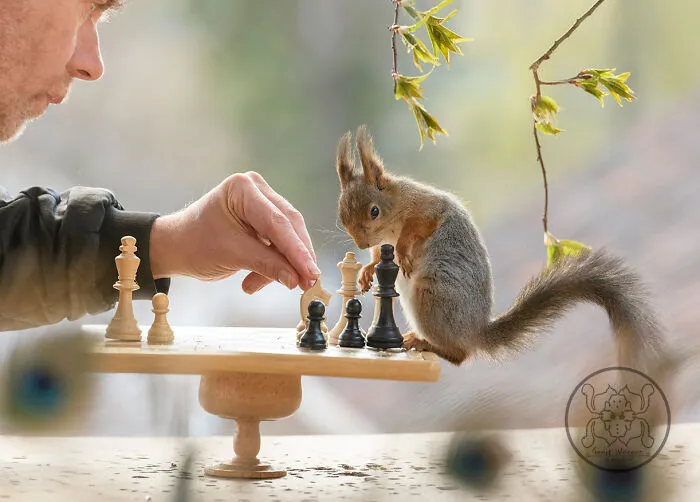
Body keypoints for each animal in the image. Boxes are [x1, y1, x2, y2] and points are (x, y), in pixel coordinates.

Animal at [334, 125, 668, 371]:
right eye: (341, 215)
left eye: (374, 211)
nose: (360, 243)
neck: (394, 211)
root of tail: (475, 332)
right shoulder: (382, 243)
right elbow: (377, 255)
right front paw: (366, 271)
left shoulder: (425, 207)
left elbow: (419, 228)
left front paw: (403, 250)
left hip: (432, 294)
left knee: (461, 356)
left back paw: (424, 342)